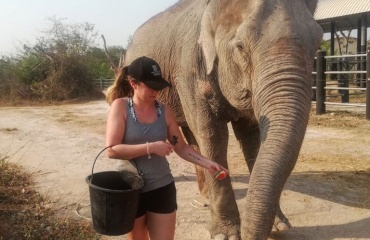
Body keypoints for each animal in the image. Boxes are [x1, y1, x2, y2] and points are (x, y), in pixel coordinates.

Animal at [123, 0, 322, 240]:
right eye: (240, 46)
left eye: (318, 44)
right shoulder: (189, 69)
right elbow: (212, 134)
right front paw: (226, 235)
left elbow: (251, 137)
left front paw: (281, 226)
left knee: (191, 136)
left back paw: (206, 197)